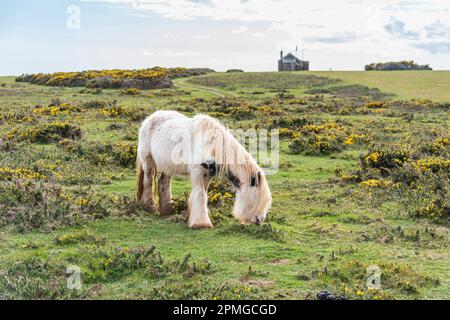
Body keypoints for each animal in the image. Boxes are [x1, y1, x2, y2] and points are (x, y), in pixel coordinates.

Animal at [136, 110, 270, 228]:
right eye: (257, 196)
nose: (260, 219)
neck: (212, 145)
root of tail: (149, 119)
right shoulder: (197, 173)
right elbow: (200, 195)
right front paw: (201, 223)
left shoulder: (208, 175)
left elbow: (204, 195)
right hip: (148, 161)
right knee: (148, 181)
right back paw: (149, 206)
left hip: (168, 166)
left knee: (164, 182)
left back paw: (167, 209)